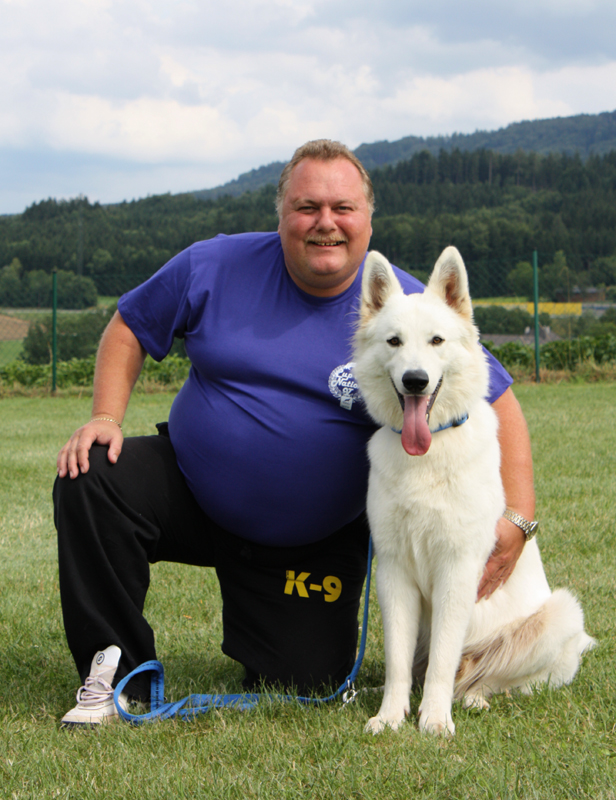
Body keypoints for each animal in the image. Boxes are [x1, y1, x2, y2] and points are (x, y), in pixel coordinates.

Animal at [353, 246, 595, 736]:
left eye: (436, 341)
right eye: (393, 342)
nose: (415, 380)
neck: (427, 453)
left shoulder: (458, 571)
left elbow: (444, 659)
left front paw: (434, 720)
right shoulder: (393, 572)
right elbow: (397, 661)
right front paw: (390, 716)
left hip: (561, 614)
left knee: (489, 677)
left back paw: (473, 698)